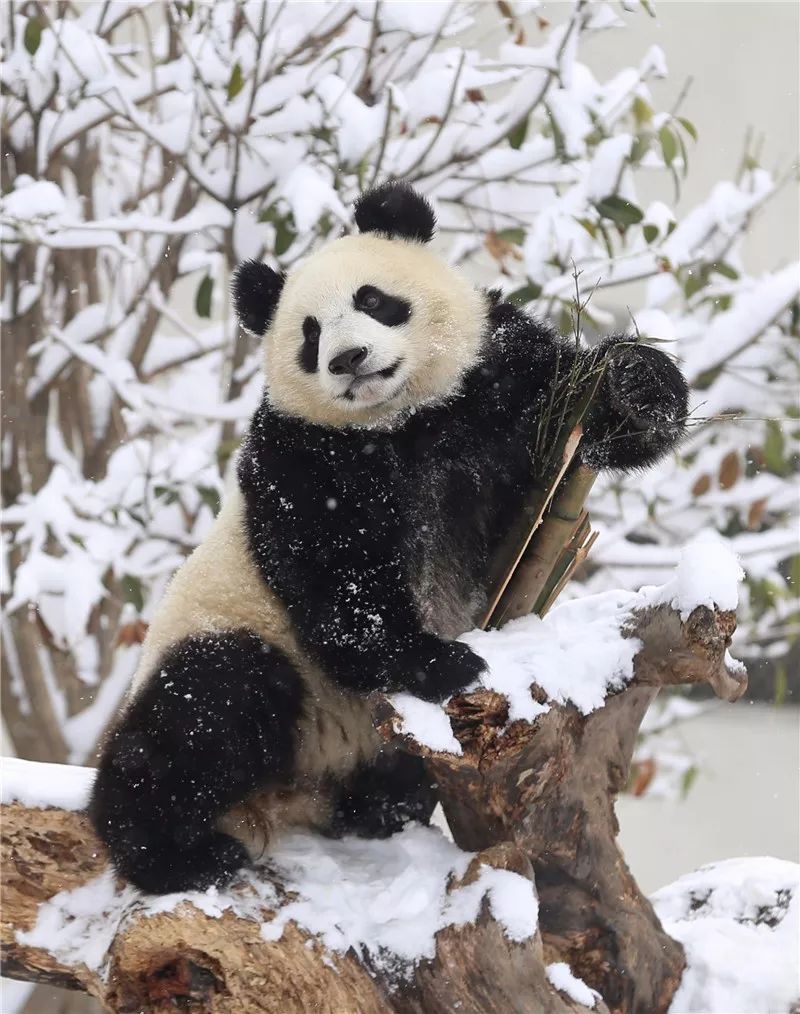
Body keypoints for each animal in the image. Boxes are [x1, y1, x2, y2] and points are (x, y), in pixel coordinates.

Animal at [85, 178, 685, 892]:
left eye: (371, 300)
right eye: (309, 334)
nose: (348, 359)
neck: (402, 419)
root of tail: (296, 796)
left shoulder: (496, 383)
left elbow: (581, 401)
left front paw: (634, 385)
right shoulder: (306, 459)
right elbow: (342, 583)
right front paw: (441, 662)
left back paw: (379, 808)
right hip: (236, 634)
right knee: (208, 707)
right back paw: (177, 854)